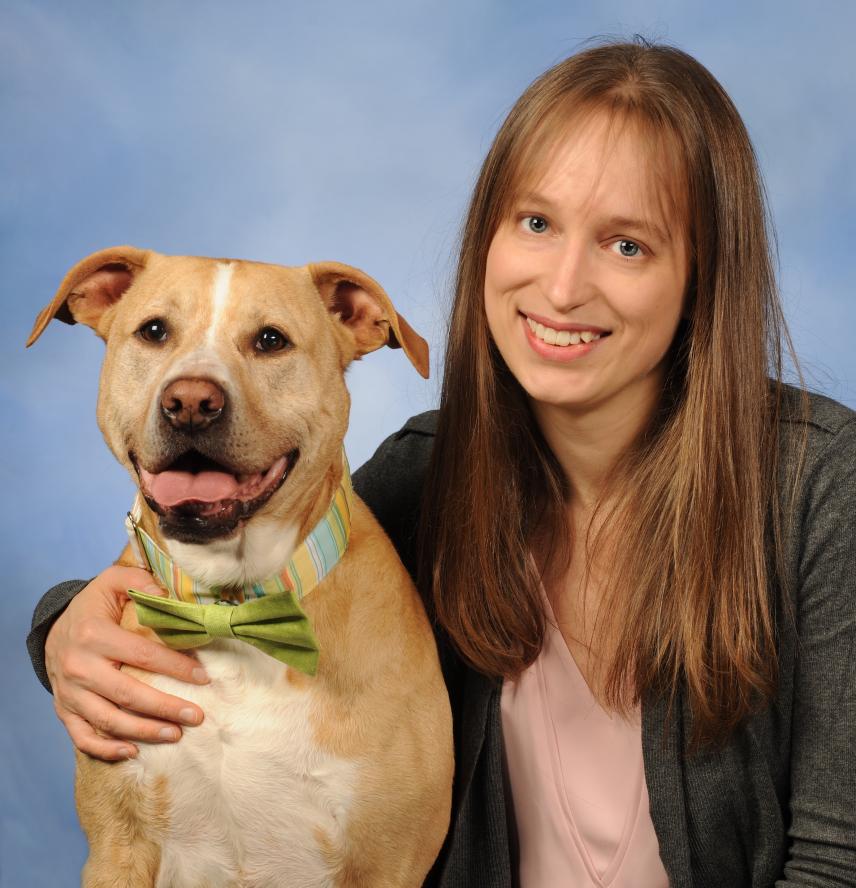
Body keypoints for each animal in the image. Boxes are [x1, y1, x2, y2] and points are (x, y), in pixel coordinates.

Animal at [28, 248, 454, 888]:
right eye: (154, 331)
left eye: (271, 340)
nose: (190, 402)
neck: (229, 604)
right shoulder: (117, 848)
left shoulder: (388, 863)